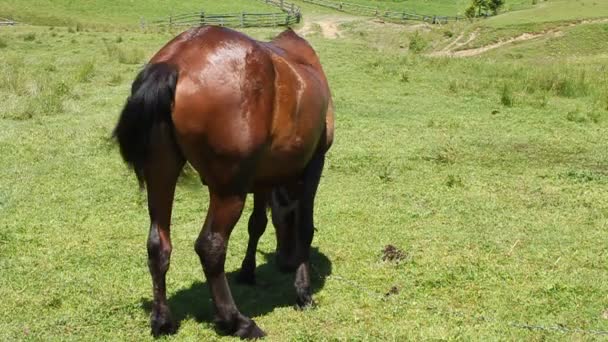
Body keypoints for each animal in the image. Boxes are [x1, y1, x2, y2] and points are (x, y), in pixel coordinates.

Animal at [113, 25, 332, 338]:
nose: (285, 263)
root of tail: (175, 60)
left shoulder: (262, 178)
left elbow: (257, 224)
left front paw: (248, 271)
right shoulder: (315, 162)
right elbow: (305, 226)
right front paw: (303, 292)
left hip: (161, 174)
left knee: (158, 244)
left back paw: (163, 320)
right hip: (229, 191)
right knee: (210, 247)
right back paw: (237, 321)